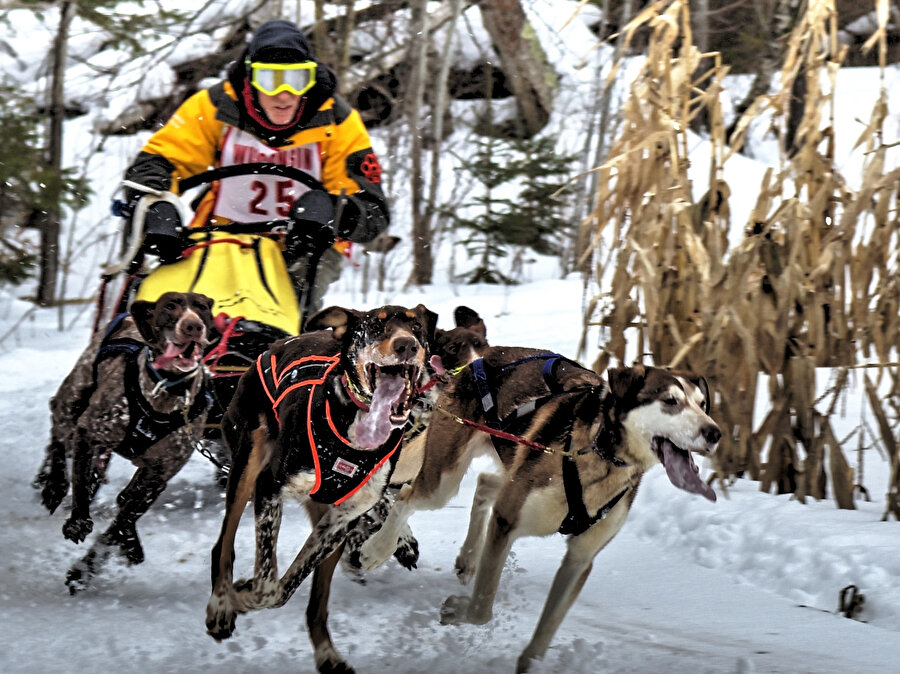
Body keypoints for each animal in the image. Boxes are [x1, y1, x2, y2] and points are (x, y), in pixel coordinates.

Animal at [34, 292, 214, 592]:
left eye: (202, 307)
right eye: (170, 305)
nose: (193, 326)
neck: (165, 390)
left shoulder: (157, 476)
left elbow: (119, 523)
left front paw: (86, 569)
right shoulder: (88, 432)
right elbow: (81, 483)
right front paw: (78, 520)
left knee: (123, 500)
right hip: (72, 399)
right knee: (58, 434)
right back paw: (54, 485)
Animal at [356, 350, 716, 668]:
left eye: (702, 404)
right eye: (670, 401)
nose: (715, 432)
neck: (599, 453)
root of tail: (482, 357)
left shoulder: (580, 558)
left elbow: (547, 629)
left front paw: (531, 663)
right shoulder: (506, 521)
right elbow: (482, 606)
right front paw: (459, 610)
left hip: (506, 471)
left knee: (484, 483)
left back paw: (468, 557)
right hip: (443, 482)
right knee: (406, 495)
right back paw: (378, 549)